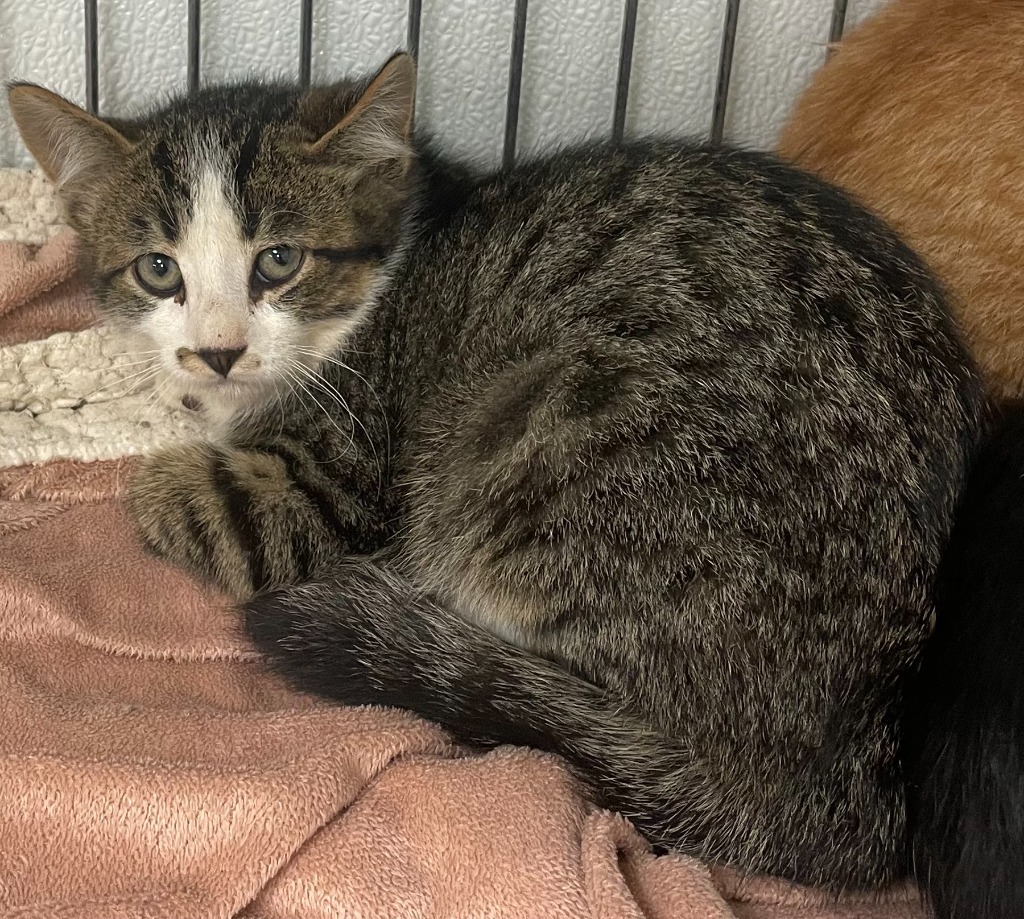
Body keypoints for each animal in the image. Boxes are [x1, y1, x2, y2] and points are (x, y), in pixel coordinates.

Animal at [9, 51, 983, 889]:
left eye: (279, 260)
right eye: (158, 269)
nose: (217, 350)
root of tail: (846, 774)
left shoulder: (333, 487)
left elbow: (184, 493)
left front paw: (141, 437)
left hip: (552, 453)